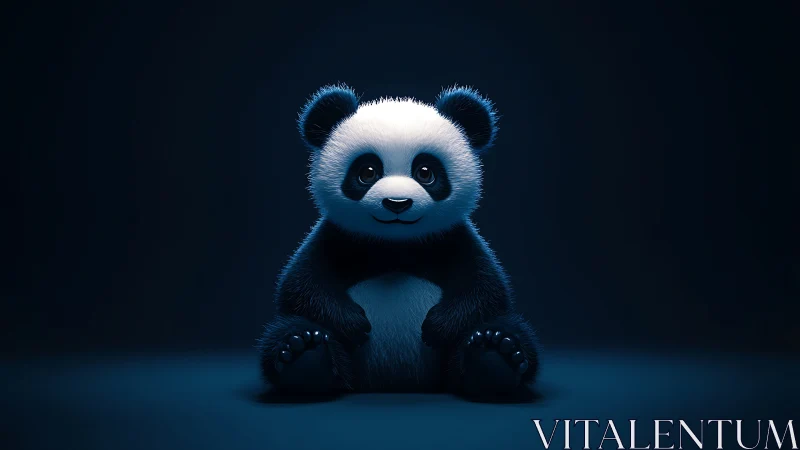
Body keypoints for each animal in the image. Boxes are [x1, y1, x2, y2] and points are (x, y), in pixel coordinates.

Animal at [257, 84, 539, 398]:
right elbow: (302, 287)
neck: (395, 247)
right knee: (282, 334)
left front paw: (438, 327)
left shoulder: (452, 239)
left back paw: (496, 353)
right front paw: (353, 324)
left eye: (426, 172)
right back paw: (302, 354)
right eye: (367, 172)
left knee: (511, 332)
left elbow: (486, 289)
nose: (397, 203)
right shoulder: (338, 238)